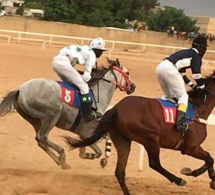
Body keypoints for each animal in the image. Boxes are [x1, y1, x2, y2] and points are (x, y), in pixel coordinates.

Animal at [0, 58, 134, 170]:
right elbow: (98, 150)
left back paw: (62, 162)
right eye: (127, 73)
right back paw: (62, 155)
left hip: (35, 120)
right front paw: (86, 152)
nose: (133, 86)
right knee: (42, 137)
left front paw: (89, 152)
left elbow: (103, 139)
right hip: (52, 114)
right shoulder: (85, 132)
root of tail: (20, 90)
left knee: (40, 140)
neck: (97, 96)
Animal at [64, 71, 215, 193]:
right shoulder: (190, 147)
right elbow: (209, 158)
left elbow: (209, 158)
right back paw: (178, 180)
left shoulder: (193, 147)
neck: (198, 110)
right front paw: (192, 172)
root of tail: (116, 108)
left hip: (123, 141)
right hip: (150, 139)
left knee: (120, 172)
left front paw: (212, 180)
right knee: (154, 163)